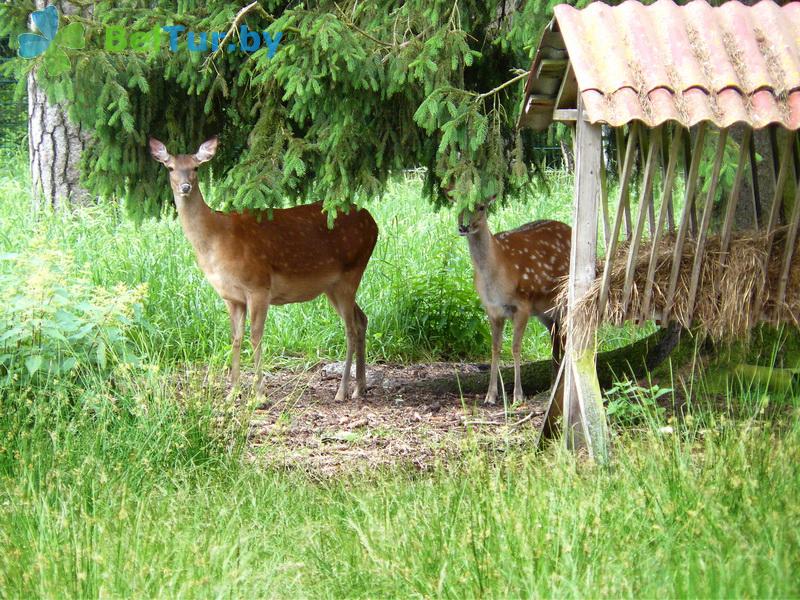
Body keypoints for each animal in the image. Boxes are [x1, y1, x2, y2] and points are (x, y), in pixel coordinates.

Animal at [151, 135, 382, 398]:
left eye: (196, 167)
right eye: (170, 167)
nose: (185, 187)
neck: (216, 240)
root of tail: (373, 222)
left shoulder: (258, 285)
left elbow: (256, 337)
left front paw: (259, 394)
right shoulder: (231, 297)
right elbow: (235, 338)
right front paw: (233, 392)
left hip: (351, 271)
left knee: (350, 329)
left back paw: (342, 391)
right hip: (332, 285)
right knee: (361, 319)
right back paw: (360, 387)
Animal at [456, 199, 568, 410]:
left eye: (481, 207)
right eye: (458, 207)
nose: (463, 226)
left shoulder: (522, 305)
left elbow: (516, 348)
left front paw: (518, 396)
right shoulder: (492, 309)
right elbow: (495, 347)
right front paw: (490, 395)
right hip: (545, 311)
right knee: (556, 336)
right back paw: (553, 384)